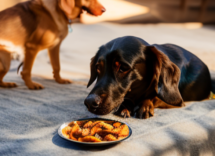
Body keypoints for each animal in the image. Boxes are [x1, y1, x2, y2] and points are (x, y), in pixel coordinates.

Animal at [84, 36, 213, 118]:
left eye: (123, 68)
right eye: (98, 68)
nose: (89, 102)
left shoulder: (178, 102)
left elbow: (154, 96)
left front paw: (145, 105)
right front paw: (124, 107)